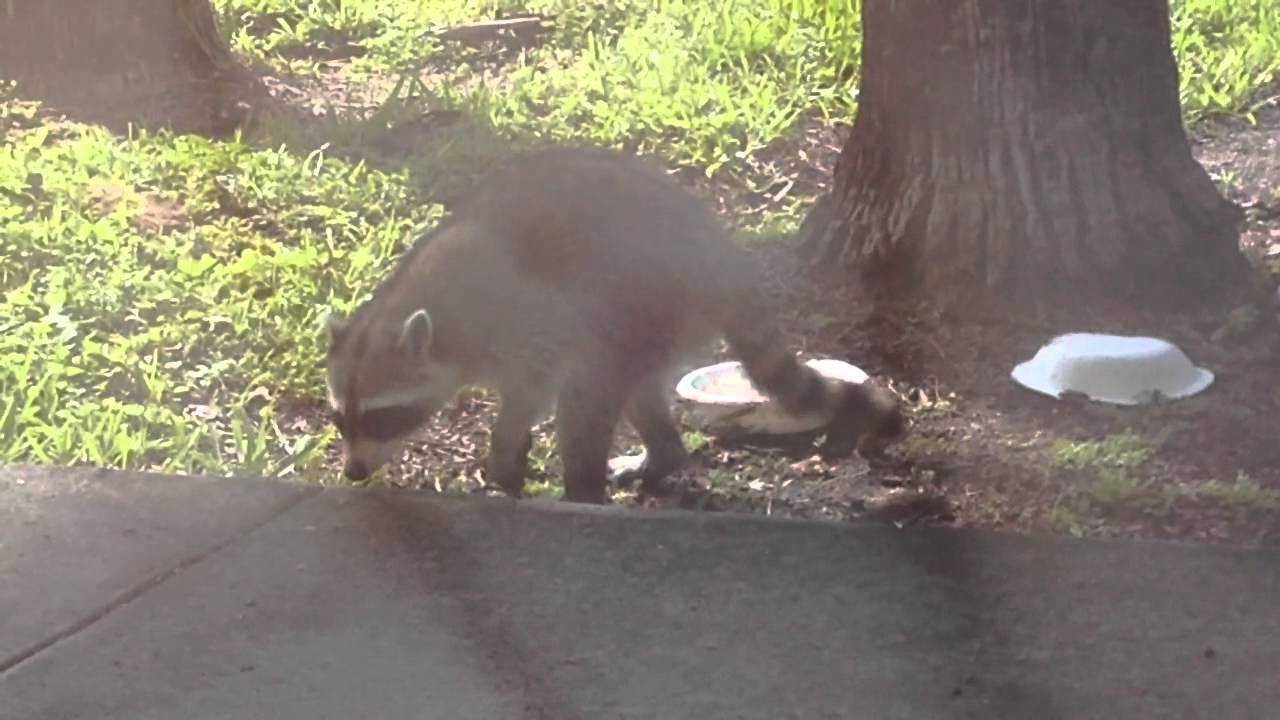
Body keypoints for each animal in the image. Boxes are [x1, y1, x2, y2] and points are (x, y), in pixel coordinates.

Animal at [323, 145, 904, 503]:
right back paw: (662, 456)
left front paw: (506, 446)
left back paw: (581, 491)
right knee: (637, 392)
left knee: (585, 396)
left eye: (381, 416)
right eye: (339, 418)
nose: (352, 472)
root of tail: (717, 256)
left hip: (645, 298)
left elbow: (535, 387)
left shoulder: (520, 315)